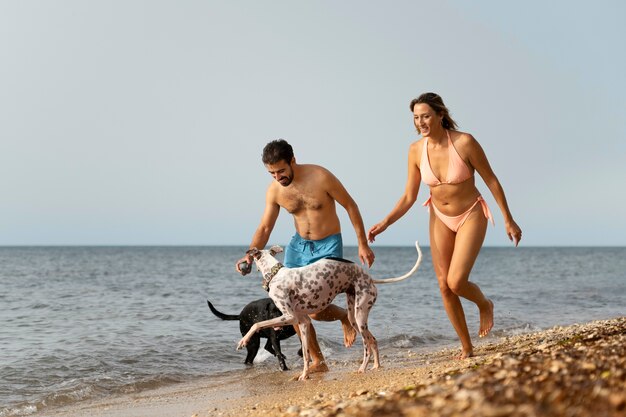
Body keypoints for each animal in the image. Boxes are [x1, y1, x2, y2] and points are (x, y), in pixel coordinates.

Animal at [236, 240, 422, 380]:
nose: (244, 264)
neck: (275, 274)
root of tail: (369, 278)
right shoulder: (303, 322)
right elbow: (306, 354)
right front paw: (304, 376)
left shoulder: (289, 317)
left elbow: (257, 324)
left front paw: (243, 341)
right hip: (354, 317)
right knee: (374, 340)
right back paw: (376, 366)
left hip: (360, 316)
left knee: (367, 347)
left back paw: (362, 368)